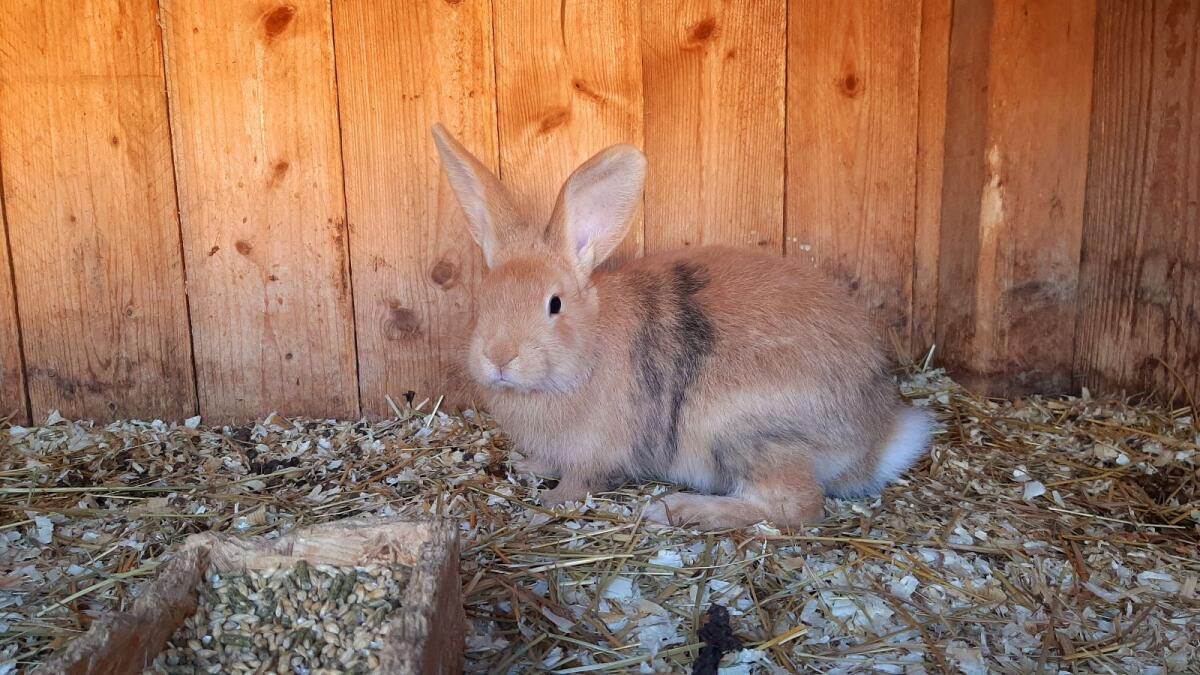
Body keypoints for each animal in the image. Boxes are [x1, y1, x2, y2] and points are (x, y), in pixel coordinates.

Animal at [430, 123, 934, 530]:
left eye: (554, 304)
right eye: (482, 300)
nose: (499, 357)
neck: (588, 350)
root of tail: (874, 437)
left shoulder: (593, 454)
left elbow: (578, 483)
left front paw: (550, 502)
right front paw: (528, 466)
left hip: (747, 434)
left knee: (796, 506)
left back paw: (677, 509)